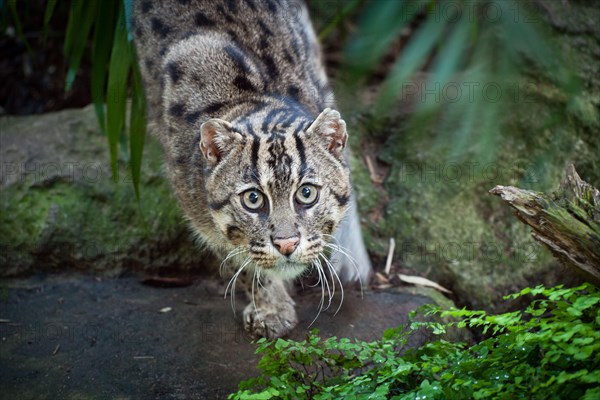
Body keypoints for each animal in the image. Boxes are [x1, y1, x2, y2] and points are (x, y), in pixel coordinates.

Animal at [132, 0, 370, 338]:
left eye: (307, 193)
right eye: (253, 199)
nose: (286, 244)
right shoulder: (203, 218)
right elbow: (239, 259)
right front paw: (271, 307)